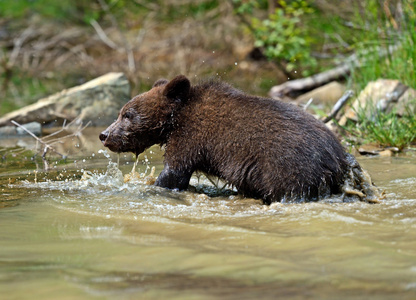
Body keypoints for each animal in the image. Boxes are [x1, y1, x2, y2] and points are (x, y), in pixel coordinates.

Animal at [100, 75, 374, 204]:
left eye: (127, 114)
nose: (104, 135)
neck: (174, 121)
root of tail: (338, 156)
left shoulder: (191, 138)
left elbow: (174, 172)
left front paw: (153, 185)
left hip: (288, 167)